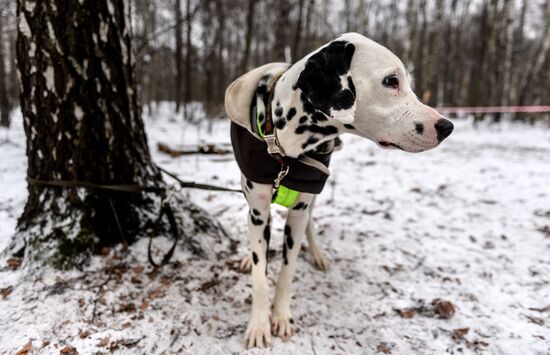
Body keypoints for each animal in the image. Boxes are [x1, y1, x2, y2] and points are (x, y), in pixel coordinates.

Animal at [223, 32, 452, 350]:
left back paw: (317, 253)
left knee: (311, 223)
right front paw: (258, 325)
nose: (446, 126)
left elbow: (287, 270)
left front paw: (280, 315)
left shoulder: (299, 211)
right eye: (391, 80)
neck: (285, 147)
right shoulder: (258, 209)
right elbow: (260, 275)